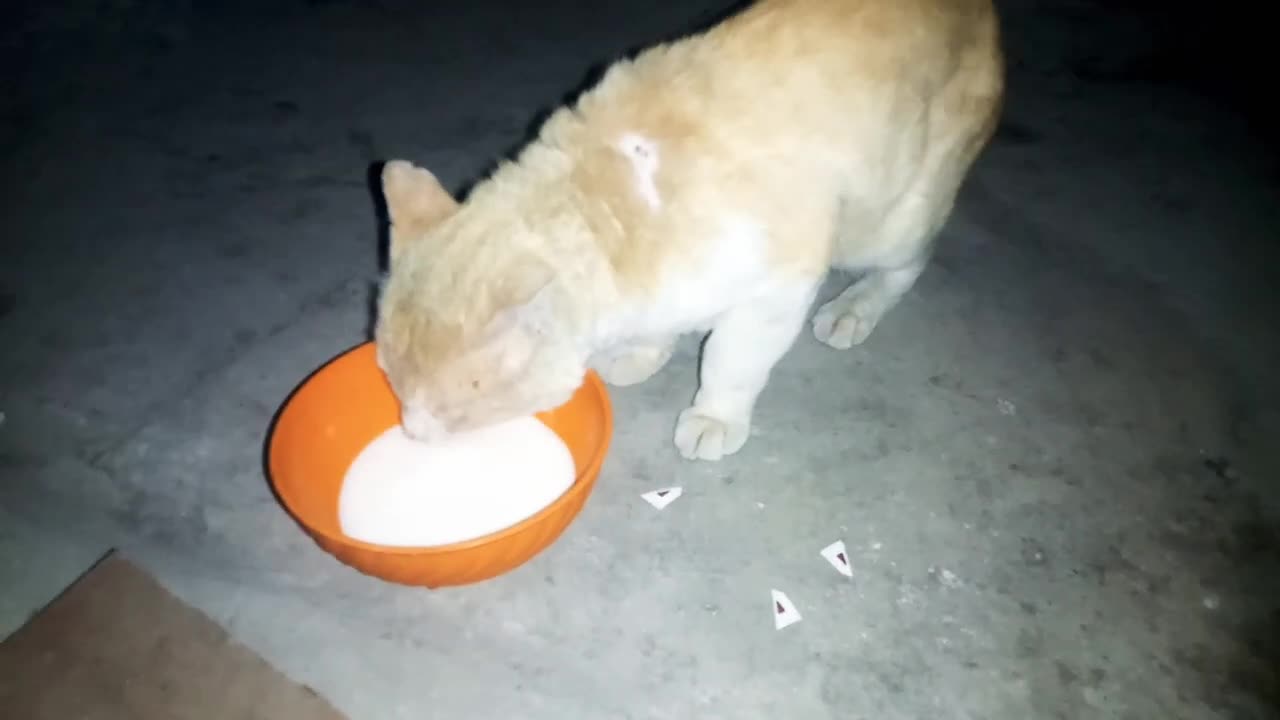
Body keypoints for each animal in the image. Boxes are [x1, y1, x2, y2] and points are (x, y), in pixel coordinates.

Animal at [373, 0, 1003, 458]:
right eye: (391, 383)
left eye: (454, 410)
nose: (412, 432)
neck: (608, 204)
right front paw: (642, 351)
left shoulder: (778, 287)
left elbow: (731, 360)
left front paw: (714, 416)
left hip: (891, 216)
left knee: (907, 264)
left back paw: (854, 307)